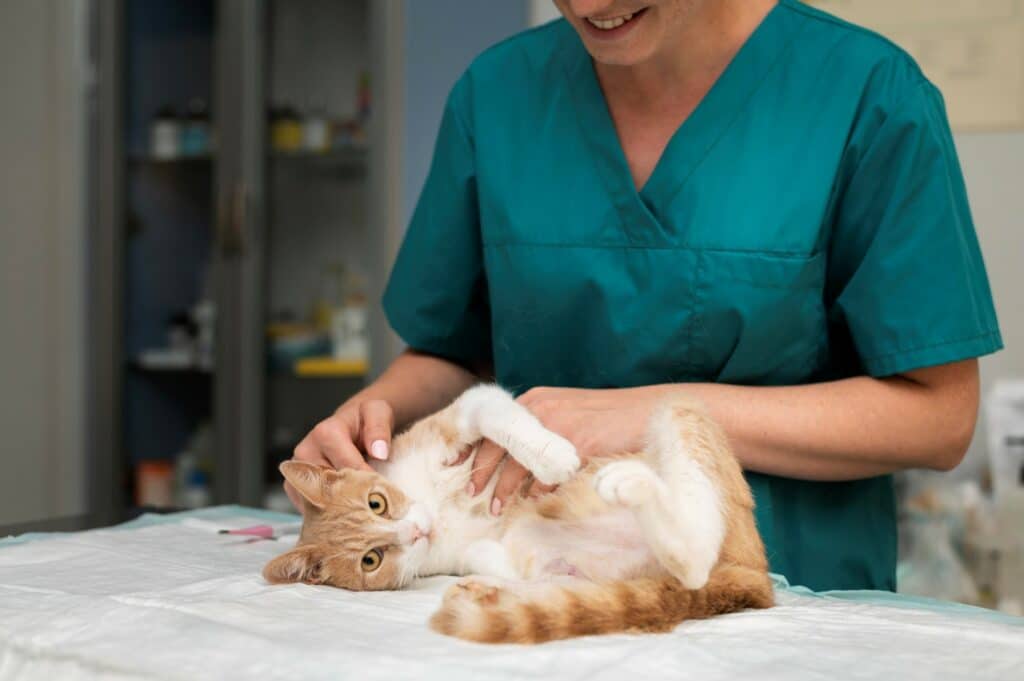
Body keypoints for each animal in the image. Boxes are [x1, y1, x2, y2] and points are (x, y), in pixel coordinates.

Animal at [268, 385, 770, 639]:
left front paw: (551, 455)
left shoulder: (467, 410)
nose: (414, 532)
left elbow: (498, 417)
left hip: (679, 406)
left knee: (696, 554)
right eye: (370, 560)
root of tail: (753, 576)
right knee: (680, 568)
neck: (431, 507)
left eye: (378, 502)